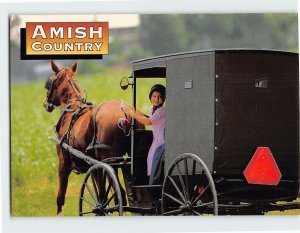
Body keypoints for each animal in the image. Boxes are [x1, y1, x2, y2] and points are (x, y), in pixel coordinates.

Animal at [42, 61, 144, 215]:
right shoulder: (94, 165)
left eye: (50, 83)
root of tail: (126, 112)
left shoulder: (63, 164)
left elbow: (60, 198)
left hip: (109, 160)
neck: (72, 107)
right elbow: (101, 192)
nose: (45, 103)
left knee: (119, 195)